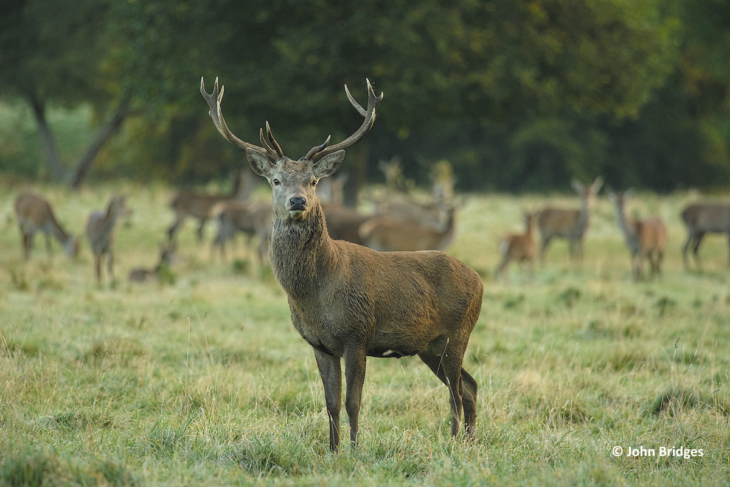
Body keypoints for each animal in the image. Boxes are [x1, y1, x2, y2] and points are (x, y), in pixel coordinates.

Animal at [202, 77, 480, 454]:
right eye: (276, 180)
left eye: (313, 181)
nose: (297, 201)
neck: (315, 292)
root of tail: (480, 280)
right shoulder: (319, 344)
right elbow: (331, 402)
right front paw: (332, 451)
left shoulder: (357, 334)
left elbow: (353, 401)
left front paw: (354, 450)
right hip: (429, 345)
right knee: (469, 385)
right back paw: (469, 442)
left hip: (457, 332)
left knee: (456, 392)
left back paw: (454, 444)